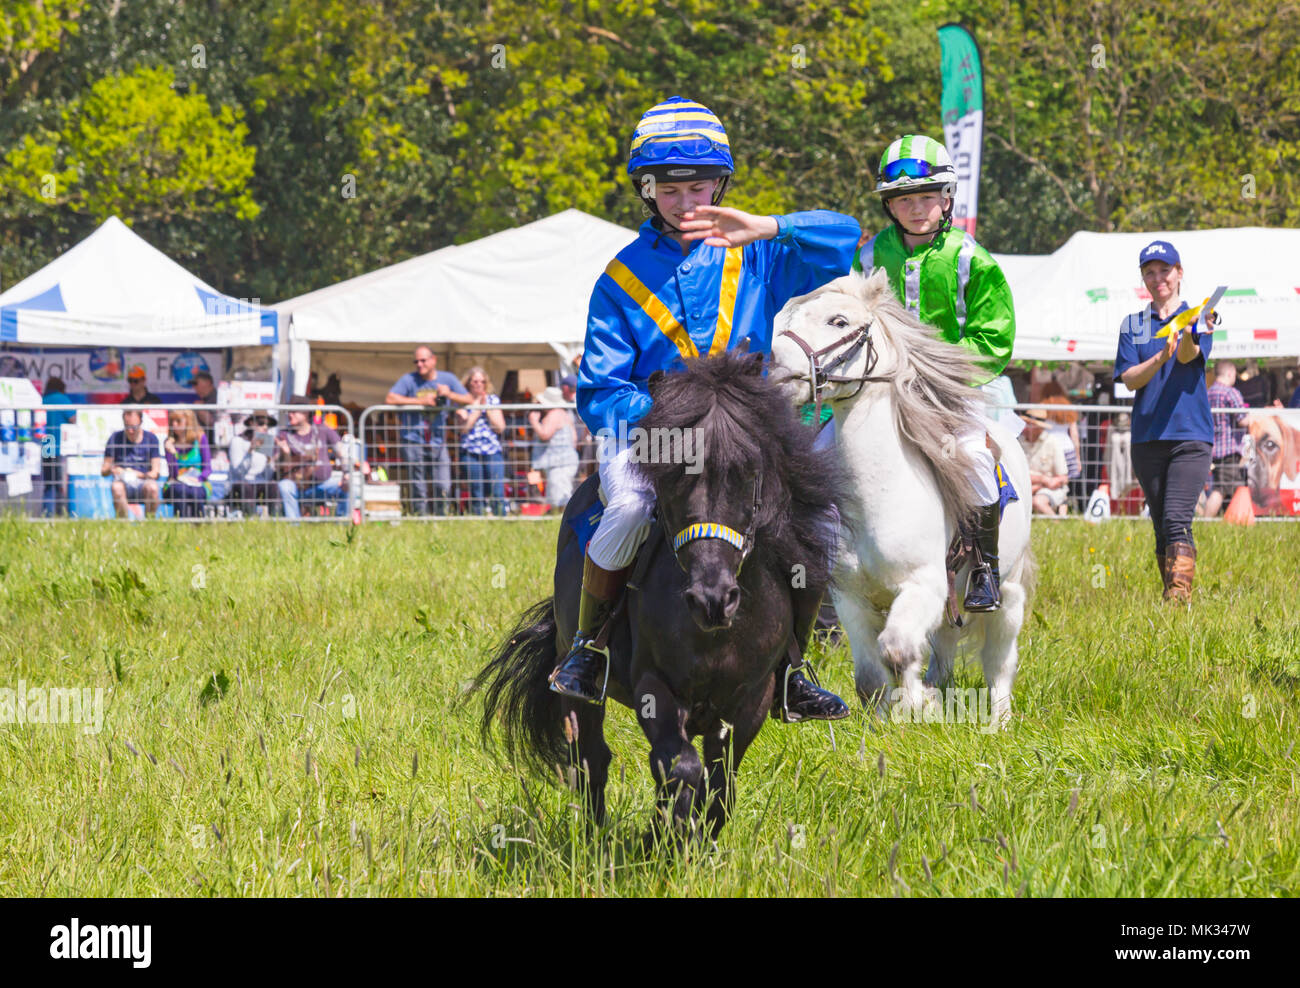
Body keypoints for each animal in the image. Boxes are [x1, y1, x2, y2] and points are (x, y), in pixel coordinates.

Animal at [473, 351, 847, 837]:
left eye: (749, 471)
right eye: (670, 475)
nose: (712, 599)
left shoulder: (751, 698)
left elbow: (720, 784)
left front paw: (696, 839)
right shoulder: (656, 688)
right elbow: (679, 768)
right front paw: (664, 836)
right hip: (577, 685)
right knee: (591, 759)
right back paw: (597, 839)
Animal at [769, 270, 1034, 728]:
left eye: (838, 321)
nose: (777, 376)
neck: (878, 493)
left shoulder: (921, 585)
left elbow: (896, 649)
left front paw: (916, 706)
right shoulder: (851, 599)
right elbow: (871, 675)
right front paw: (890, 716)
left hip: (1008, 590)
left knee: (999, 658)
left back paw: (998, 721)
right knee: (943, 645)